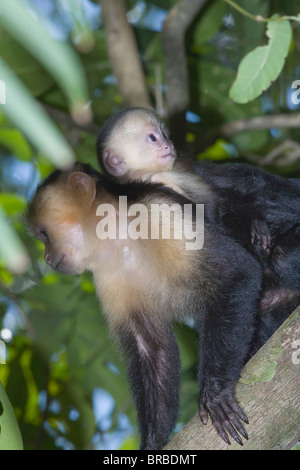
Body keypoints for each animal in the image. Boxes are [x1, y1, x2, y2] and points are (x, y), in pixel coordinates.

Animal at [28, 163, 262, 450]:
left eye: (44, 235)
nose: (47, 259)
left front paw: (215, 393)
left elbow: (237, 275)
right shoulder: (107, 275)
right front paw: (152, 443)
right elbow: (152, 347)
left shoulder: (160, 213)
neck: (119, 237)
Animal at [95, 106, 300, 346]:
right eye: (153, 138)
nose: (168, 145)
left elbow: (223, 196)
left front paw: (252, 219)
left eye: (164, 134)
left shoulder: (176, 170)